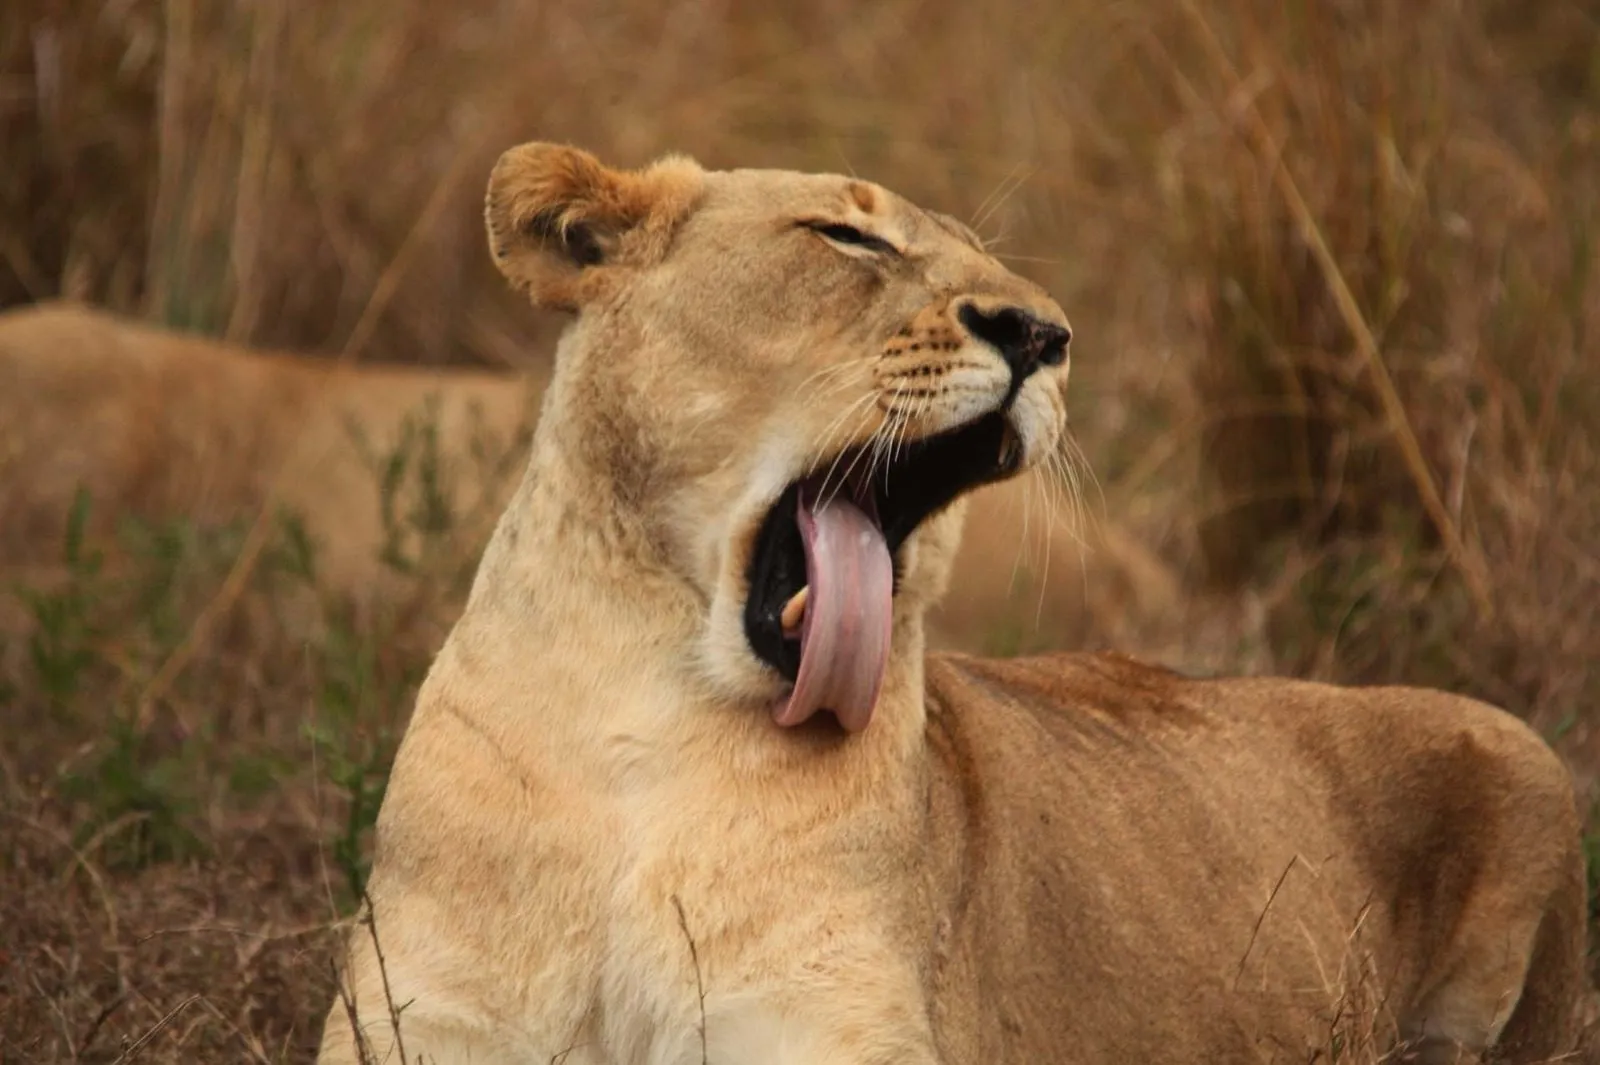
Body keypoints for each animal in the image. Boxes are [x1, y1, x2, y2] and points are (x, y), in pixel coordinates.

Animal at [312, 141, 1594, 1065]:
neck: (650, 721)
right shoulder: (423, 1020)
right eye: (847, 234)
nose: (1043, 332)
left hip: (1522, 758)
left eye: (997, 266)